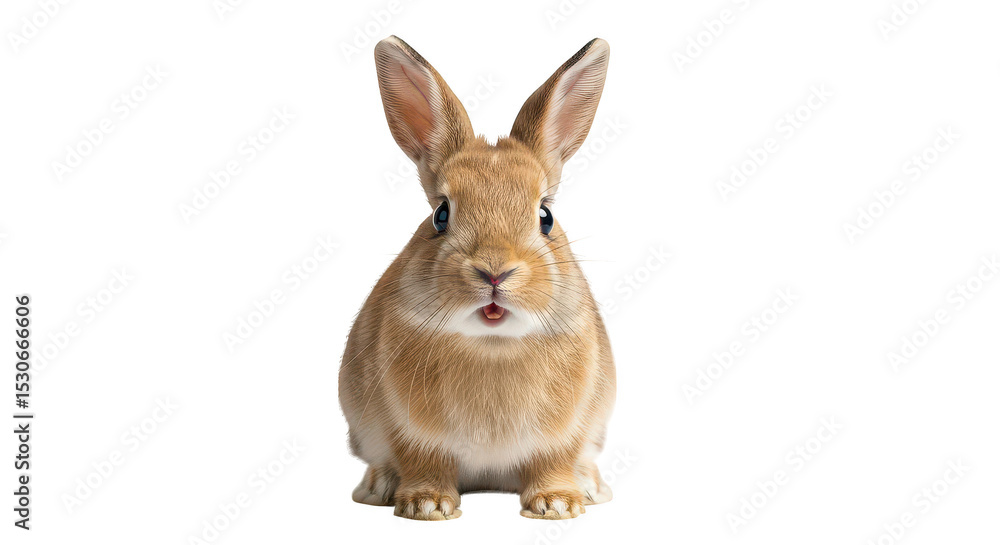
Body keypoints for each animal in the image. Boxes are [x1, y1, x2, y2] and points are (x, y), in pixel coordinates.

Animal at [339, 35, 616, 521]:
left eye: (545, 216)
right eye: (440, 214)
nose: (494, 270)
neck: (493, 345)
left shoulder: (563, 434)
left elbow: (553, 461)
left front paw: (557, 505)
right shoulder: (411, 433)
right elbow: (422, 461)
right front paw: (426, 505)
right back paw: (378, 487)